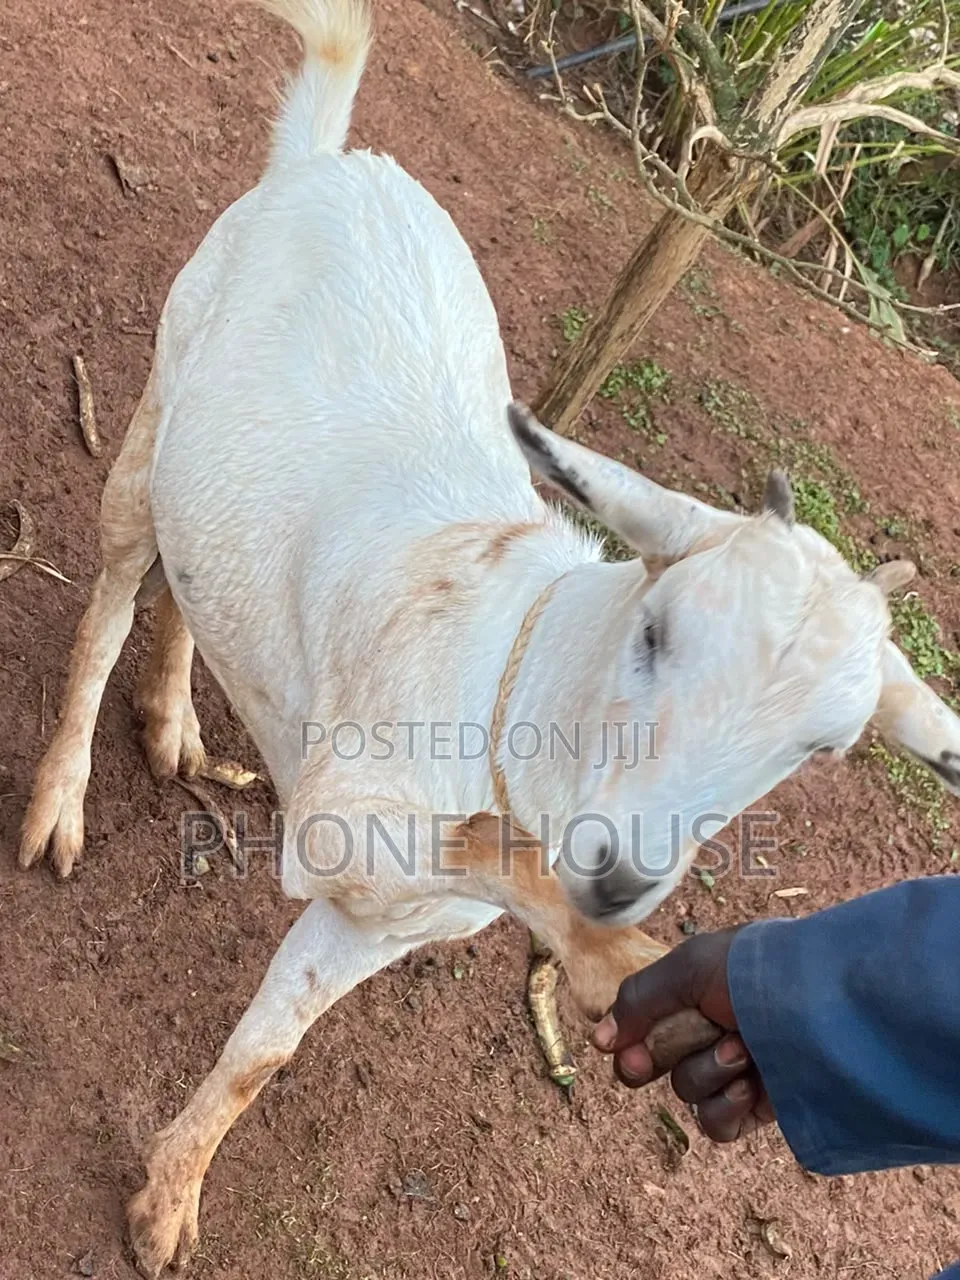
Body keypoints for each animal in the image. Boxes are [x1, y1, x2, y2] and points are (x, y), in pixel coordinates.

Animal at [18, 0, 960, 1273]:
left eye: (824, 747)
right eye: (654, 629)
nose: (623, 871)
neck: (510, 671)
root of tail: (334, 156)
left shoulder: (386, 914)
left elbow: (270, 1049)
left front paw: (168, 1197)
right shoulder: (347, 814)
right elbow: (482, 854)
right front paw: (619, 968)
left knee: (189, 577)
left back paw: (172, 720)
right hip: (162, 389)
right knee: (117, 585)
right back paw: (61, 795)